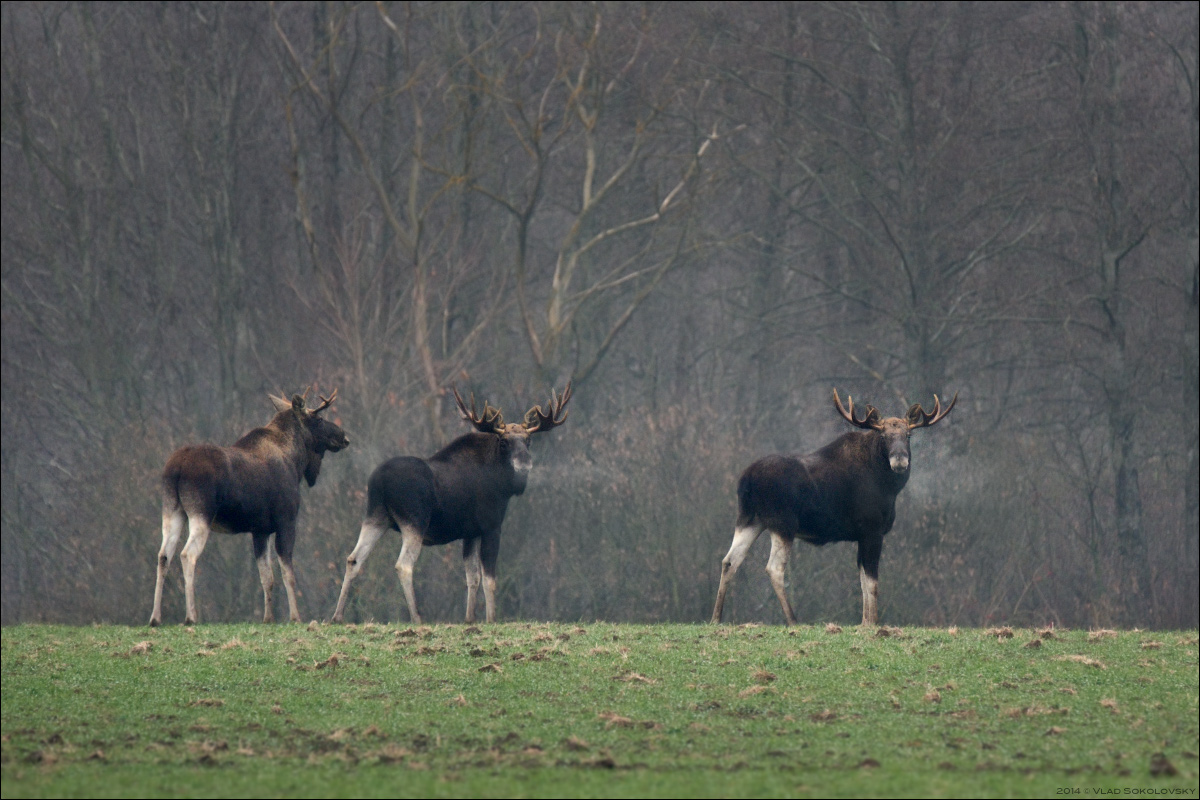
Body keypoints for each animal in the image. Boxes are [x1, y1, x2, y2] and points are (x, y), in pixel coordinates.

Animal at [147, 391, 350, 628]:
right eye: (318, 418)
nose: (344, 437)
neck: (296, 461)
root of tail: (177, 467)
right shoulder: (286, 521)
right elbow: (287, 573)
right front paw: (295, 616)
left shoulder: (260, 530)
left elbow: (267, 577)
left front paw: (268, 618)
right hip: (200, 513)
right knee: (187, 554)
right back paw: (191, 616)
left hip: (172, 510)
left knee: (164, 555)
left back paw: (155, 617)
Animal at [328, 386, 571, 623]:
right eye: (504, 442)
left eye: (528, 440)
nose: (524, 464)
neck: (502, 484)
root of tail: (379, 481)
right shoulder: (491, 527)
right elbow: (489, 579)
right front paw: (491, 620)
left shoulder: (470, 532)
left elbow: (472, 576)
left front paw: (470, 619)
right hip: (415, 521)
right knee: (403, 565)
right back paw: (417, 617)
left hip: (376, 517)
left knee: (354, 559)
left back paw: (337, 616)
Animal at [710, 388, 955, 623]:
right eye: (884, 436)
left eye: (909, 435)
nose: (900, 460)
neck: (889, 487)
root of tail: (747, 479)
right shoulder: (872, 530)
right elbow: (872, 583)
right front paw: (874, 623)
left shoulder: (861, 535)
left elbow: (863, 582)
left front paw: (864, 623)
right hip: (782, 523)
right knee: (774, 568)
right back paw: (793, 621)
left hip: (749, 519)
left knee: (729, 561)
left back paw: (716, 618)